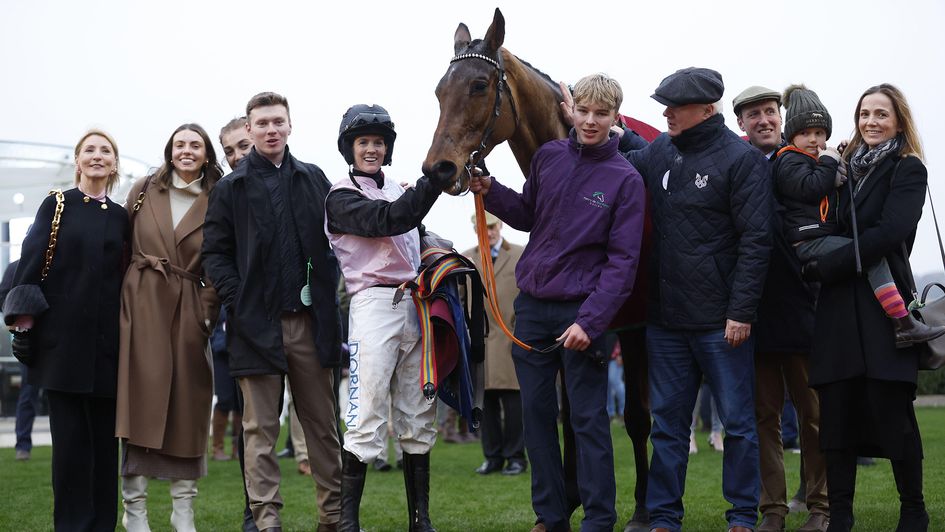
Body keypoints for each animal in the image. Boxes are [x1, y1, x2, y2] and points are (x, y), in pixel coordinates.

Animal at [426, 8, 656, 532]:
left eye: (479, 85)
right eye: (439, 90)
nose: (438, 169)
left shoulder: (630, 327)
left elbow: (635, 416)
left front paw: (638, 509)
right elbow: (566, 417)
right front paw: (565, 502)